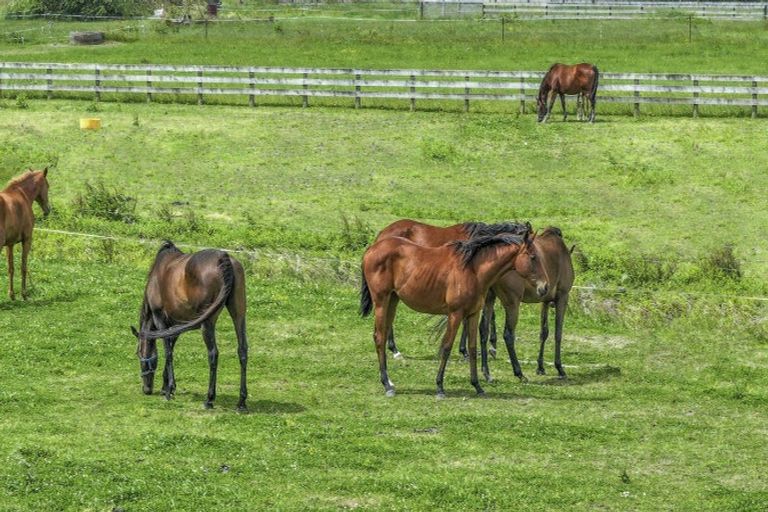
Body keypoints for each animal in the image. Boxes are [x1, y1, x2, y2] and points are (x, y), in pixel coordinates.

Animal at [0, 167, 51, 300]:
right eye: (48, 186)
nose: (48, 210)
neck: (21, 194)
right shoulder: (27, 240)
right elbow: (23, 267)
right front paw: (24, 294)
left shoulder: (10, 244)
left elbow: (11, 268)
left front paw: (12, 295)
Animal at [130, 241, 248, 412]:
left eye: (139, 354)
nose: (146, 389)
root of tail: (223, 257)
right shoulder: (177, 325)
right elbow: (171, 346)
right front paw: (167, 386)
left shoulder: (160, 319)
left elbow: (168, 351)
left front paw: (168, 390)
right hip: (238, 314)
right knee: (243, 350)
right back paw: (241, 402)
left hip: (208, 322)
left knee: (213, 354)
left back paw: (209, 399)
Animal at [460, 227, 572, 380]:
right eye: (533, 258)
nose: (545, 286)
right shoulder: (562, 297)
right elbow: (558, 333)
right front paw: (559, 367)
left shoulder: (545, 301)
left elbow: (544, 332)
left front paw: (540, 367)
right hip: (512, 304)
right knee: (508, 334)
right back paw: (519, 372)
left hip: (489, 299)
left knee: (483, 330)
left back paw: (486, 372)